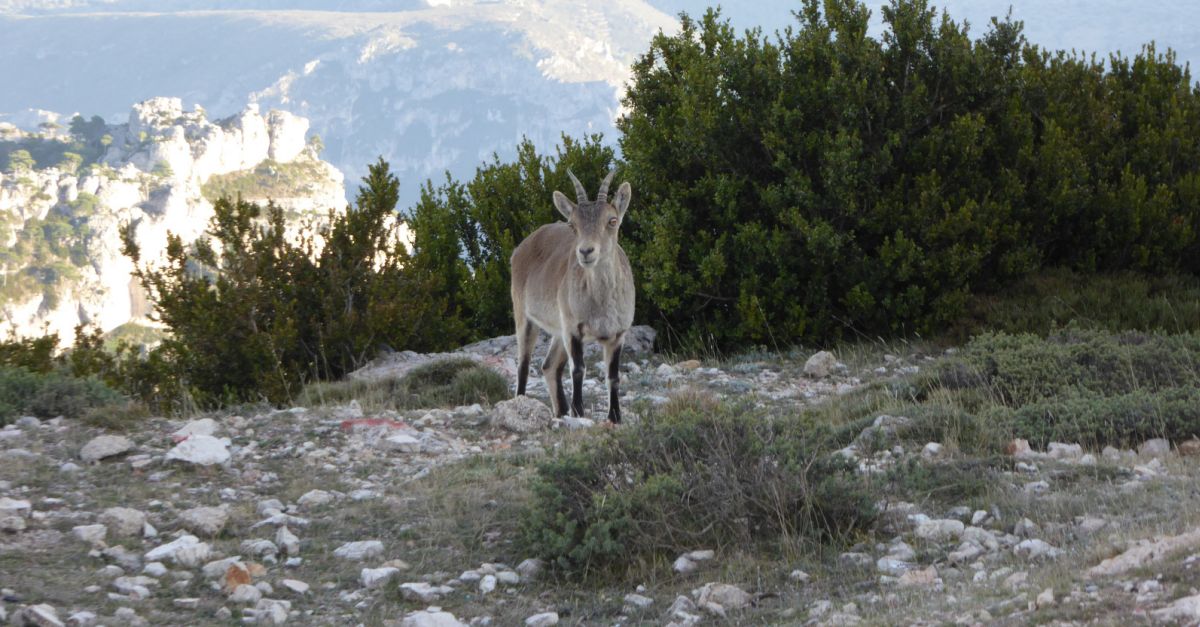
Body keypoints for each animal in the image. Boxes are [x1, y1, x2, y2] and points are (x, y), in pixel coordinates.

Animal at [508, 171, 633, 420]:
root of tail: (520, 248)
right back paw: (523, 403)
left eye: (612, 221)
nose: (585, 251)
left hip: (558, 329)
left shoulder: (618, 334)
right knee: (524, 364)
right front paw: (578, 412)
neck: (601, 304)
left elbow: (613, 377)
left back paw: (560, 411)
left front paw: (614, 417)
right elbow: (578, 370)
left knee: (549, 366)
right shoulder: (574, 329)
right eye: (573, 225)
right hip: (525, 316)